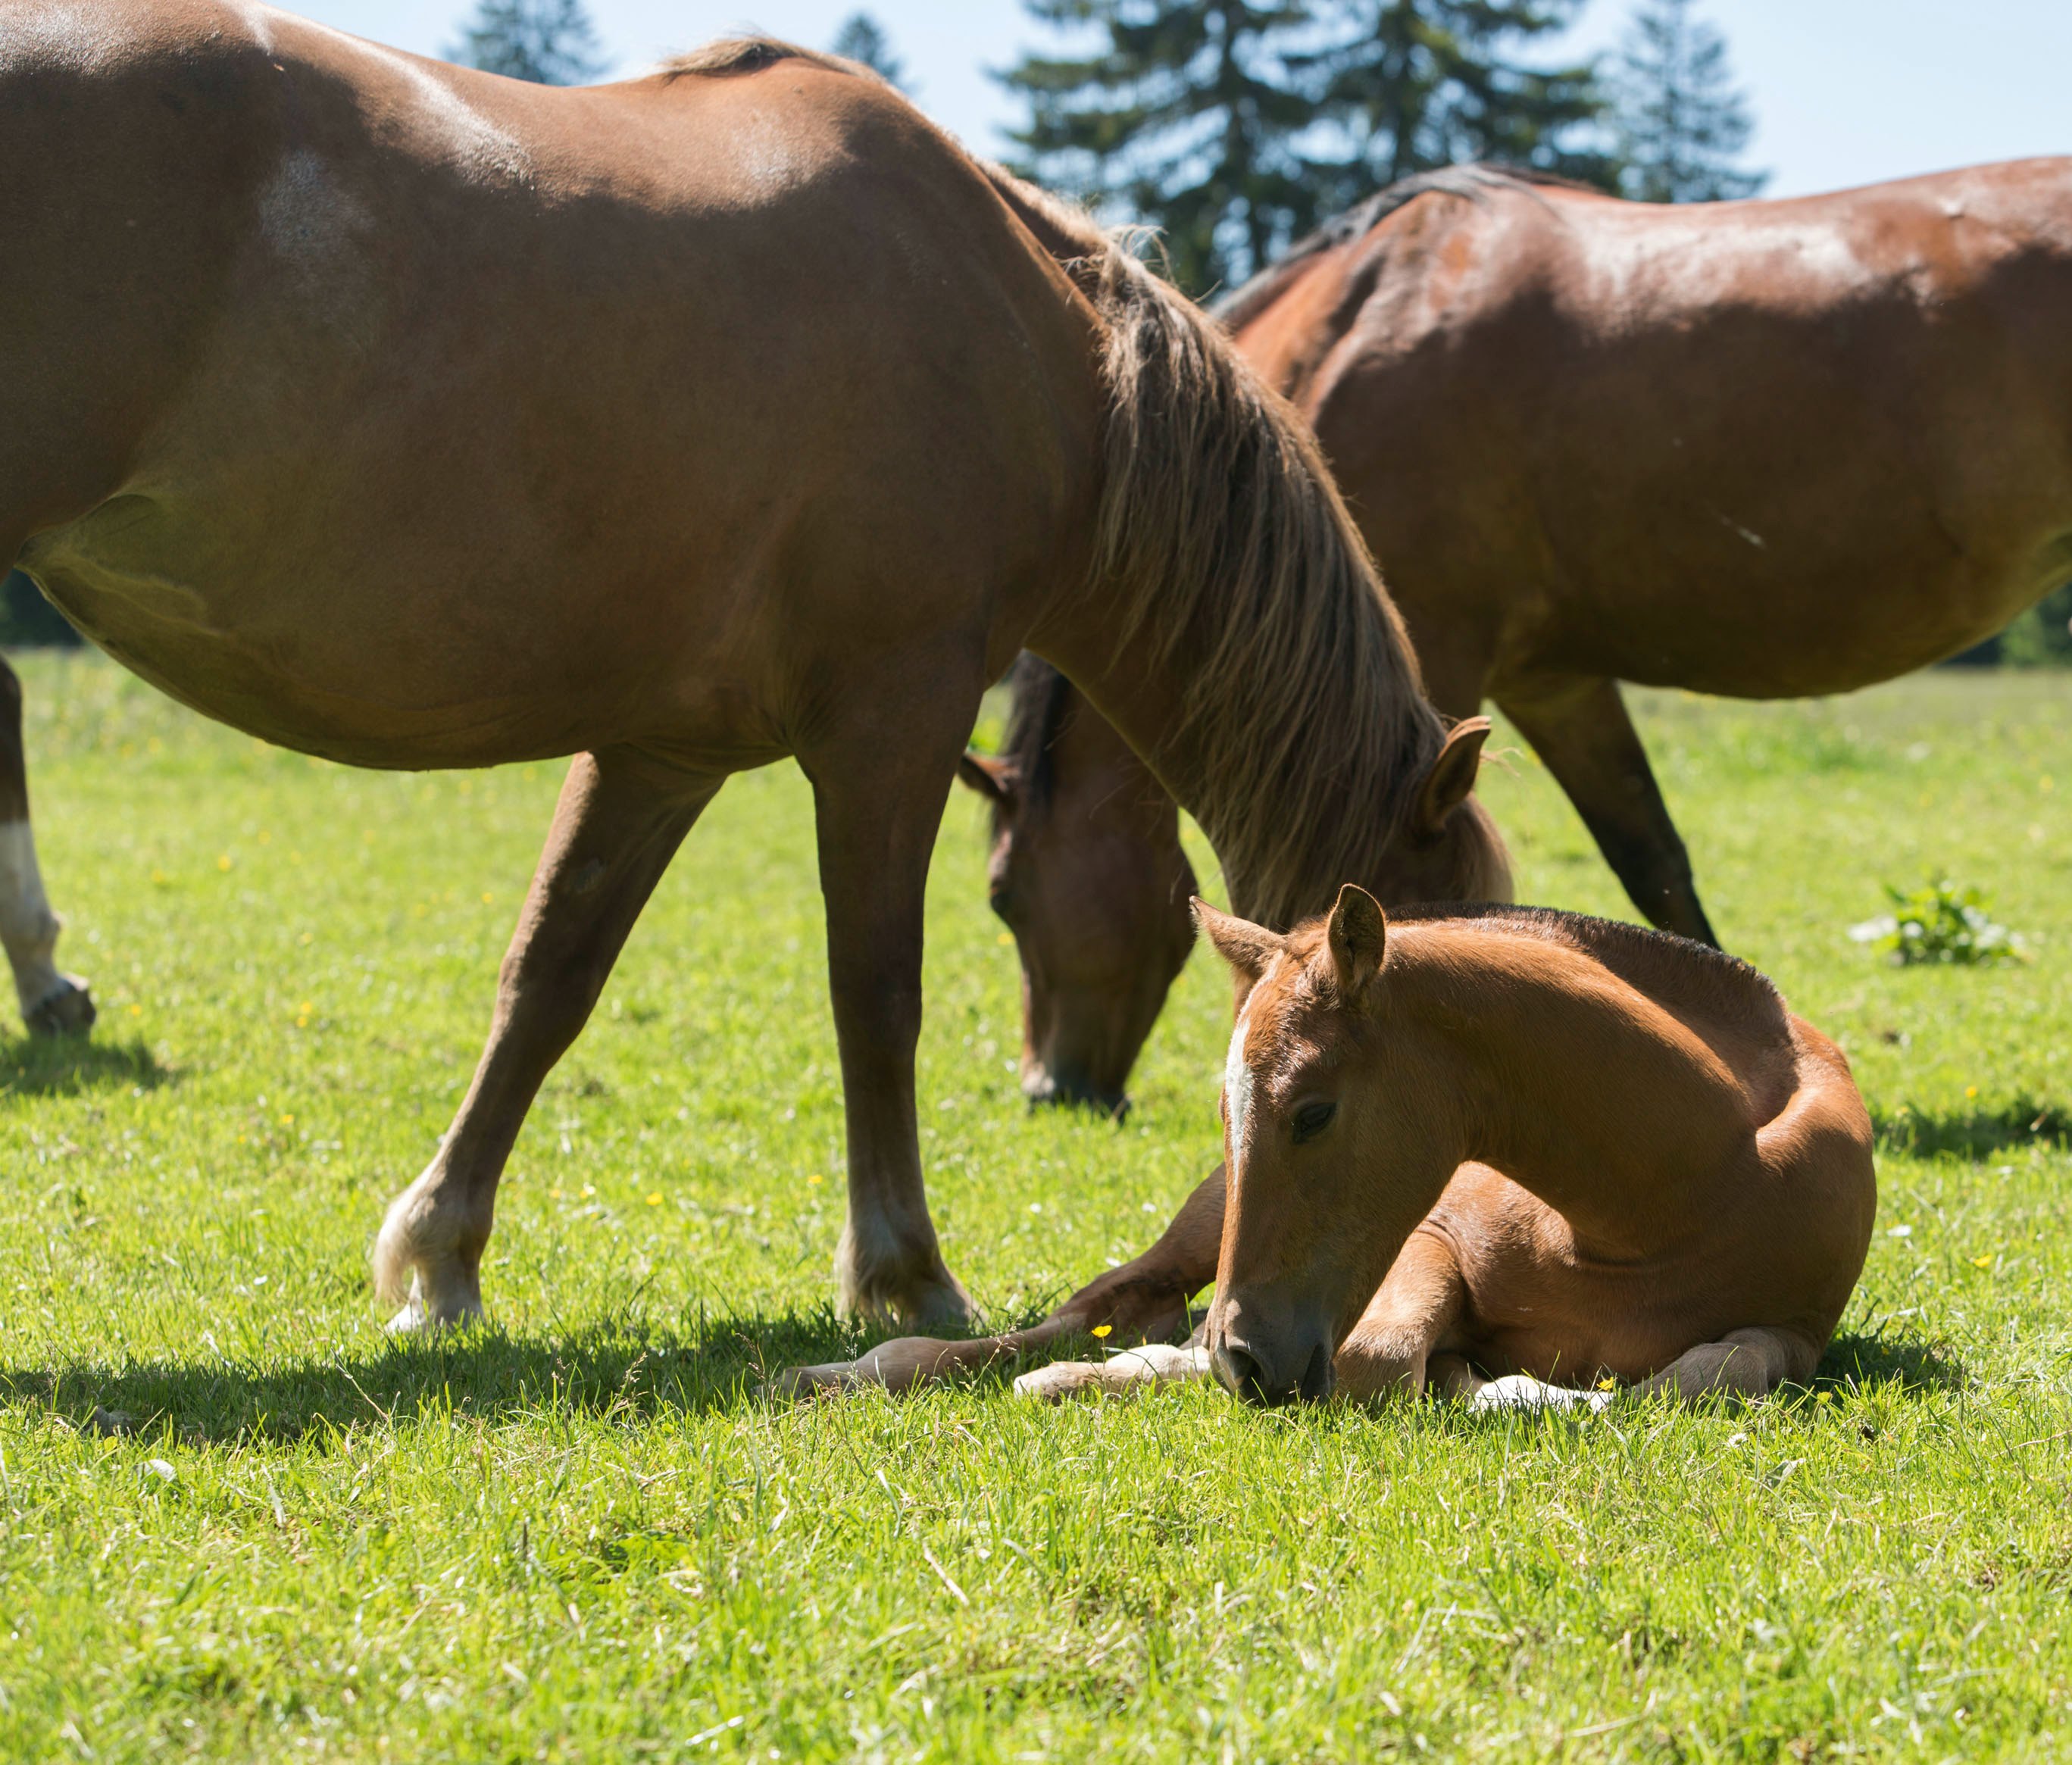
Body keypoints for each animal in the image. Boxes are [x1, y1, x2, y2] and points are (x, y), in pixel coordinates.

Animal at [0, 10, 1508, 1326]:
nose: (1060, 1091)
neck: (1049, 366)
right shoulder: (890, 723)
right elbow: (875, 992)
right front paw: (907, 1275)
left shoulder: (661, 752)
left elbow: (549, 977)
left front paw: (441, 1259)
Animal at [779, 890, 1881, 1417]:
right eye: (1225, 1107)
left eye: (1311, 1112)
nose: (1248, 1357)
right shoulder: (1426, 1236)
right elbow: (1378, 1357)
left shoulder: (1796, 1329)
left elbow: (1712, 1370)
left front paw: (1509, 1384)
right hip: (1200, 1222)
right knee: (1090, 1306)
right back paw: (867, 1367)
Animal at [965, 161, 2072, 1101]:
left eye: (1001, 898)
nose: (1051, 1088)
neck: (1363, 313)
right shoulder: (1555, 682)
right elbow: (1655, 868)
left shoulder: (1433, 674)